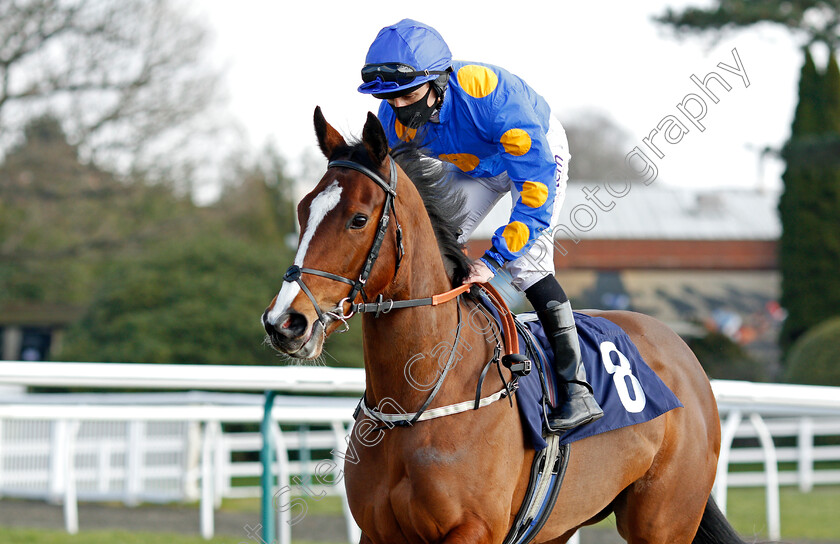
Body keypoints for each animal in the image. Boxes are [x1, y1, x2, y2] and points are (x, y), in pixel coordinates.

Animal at [262, 107, 748, 544]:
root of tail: (683, 354)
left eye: (358, 219)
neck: (418, 399)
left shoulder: (474, 529)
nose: (284, 322)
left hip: (664, 521)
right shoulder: (378, 531)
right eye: (303, 211)